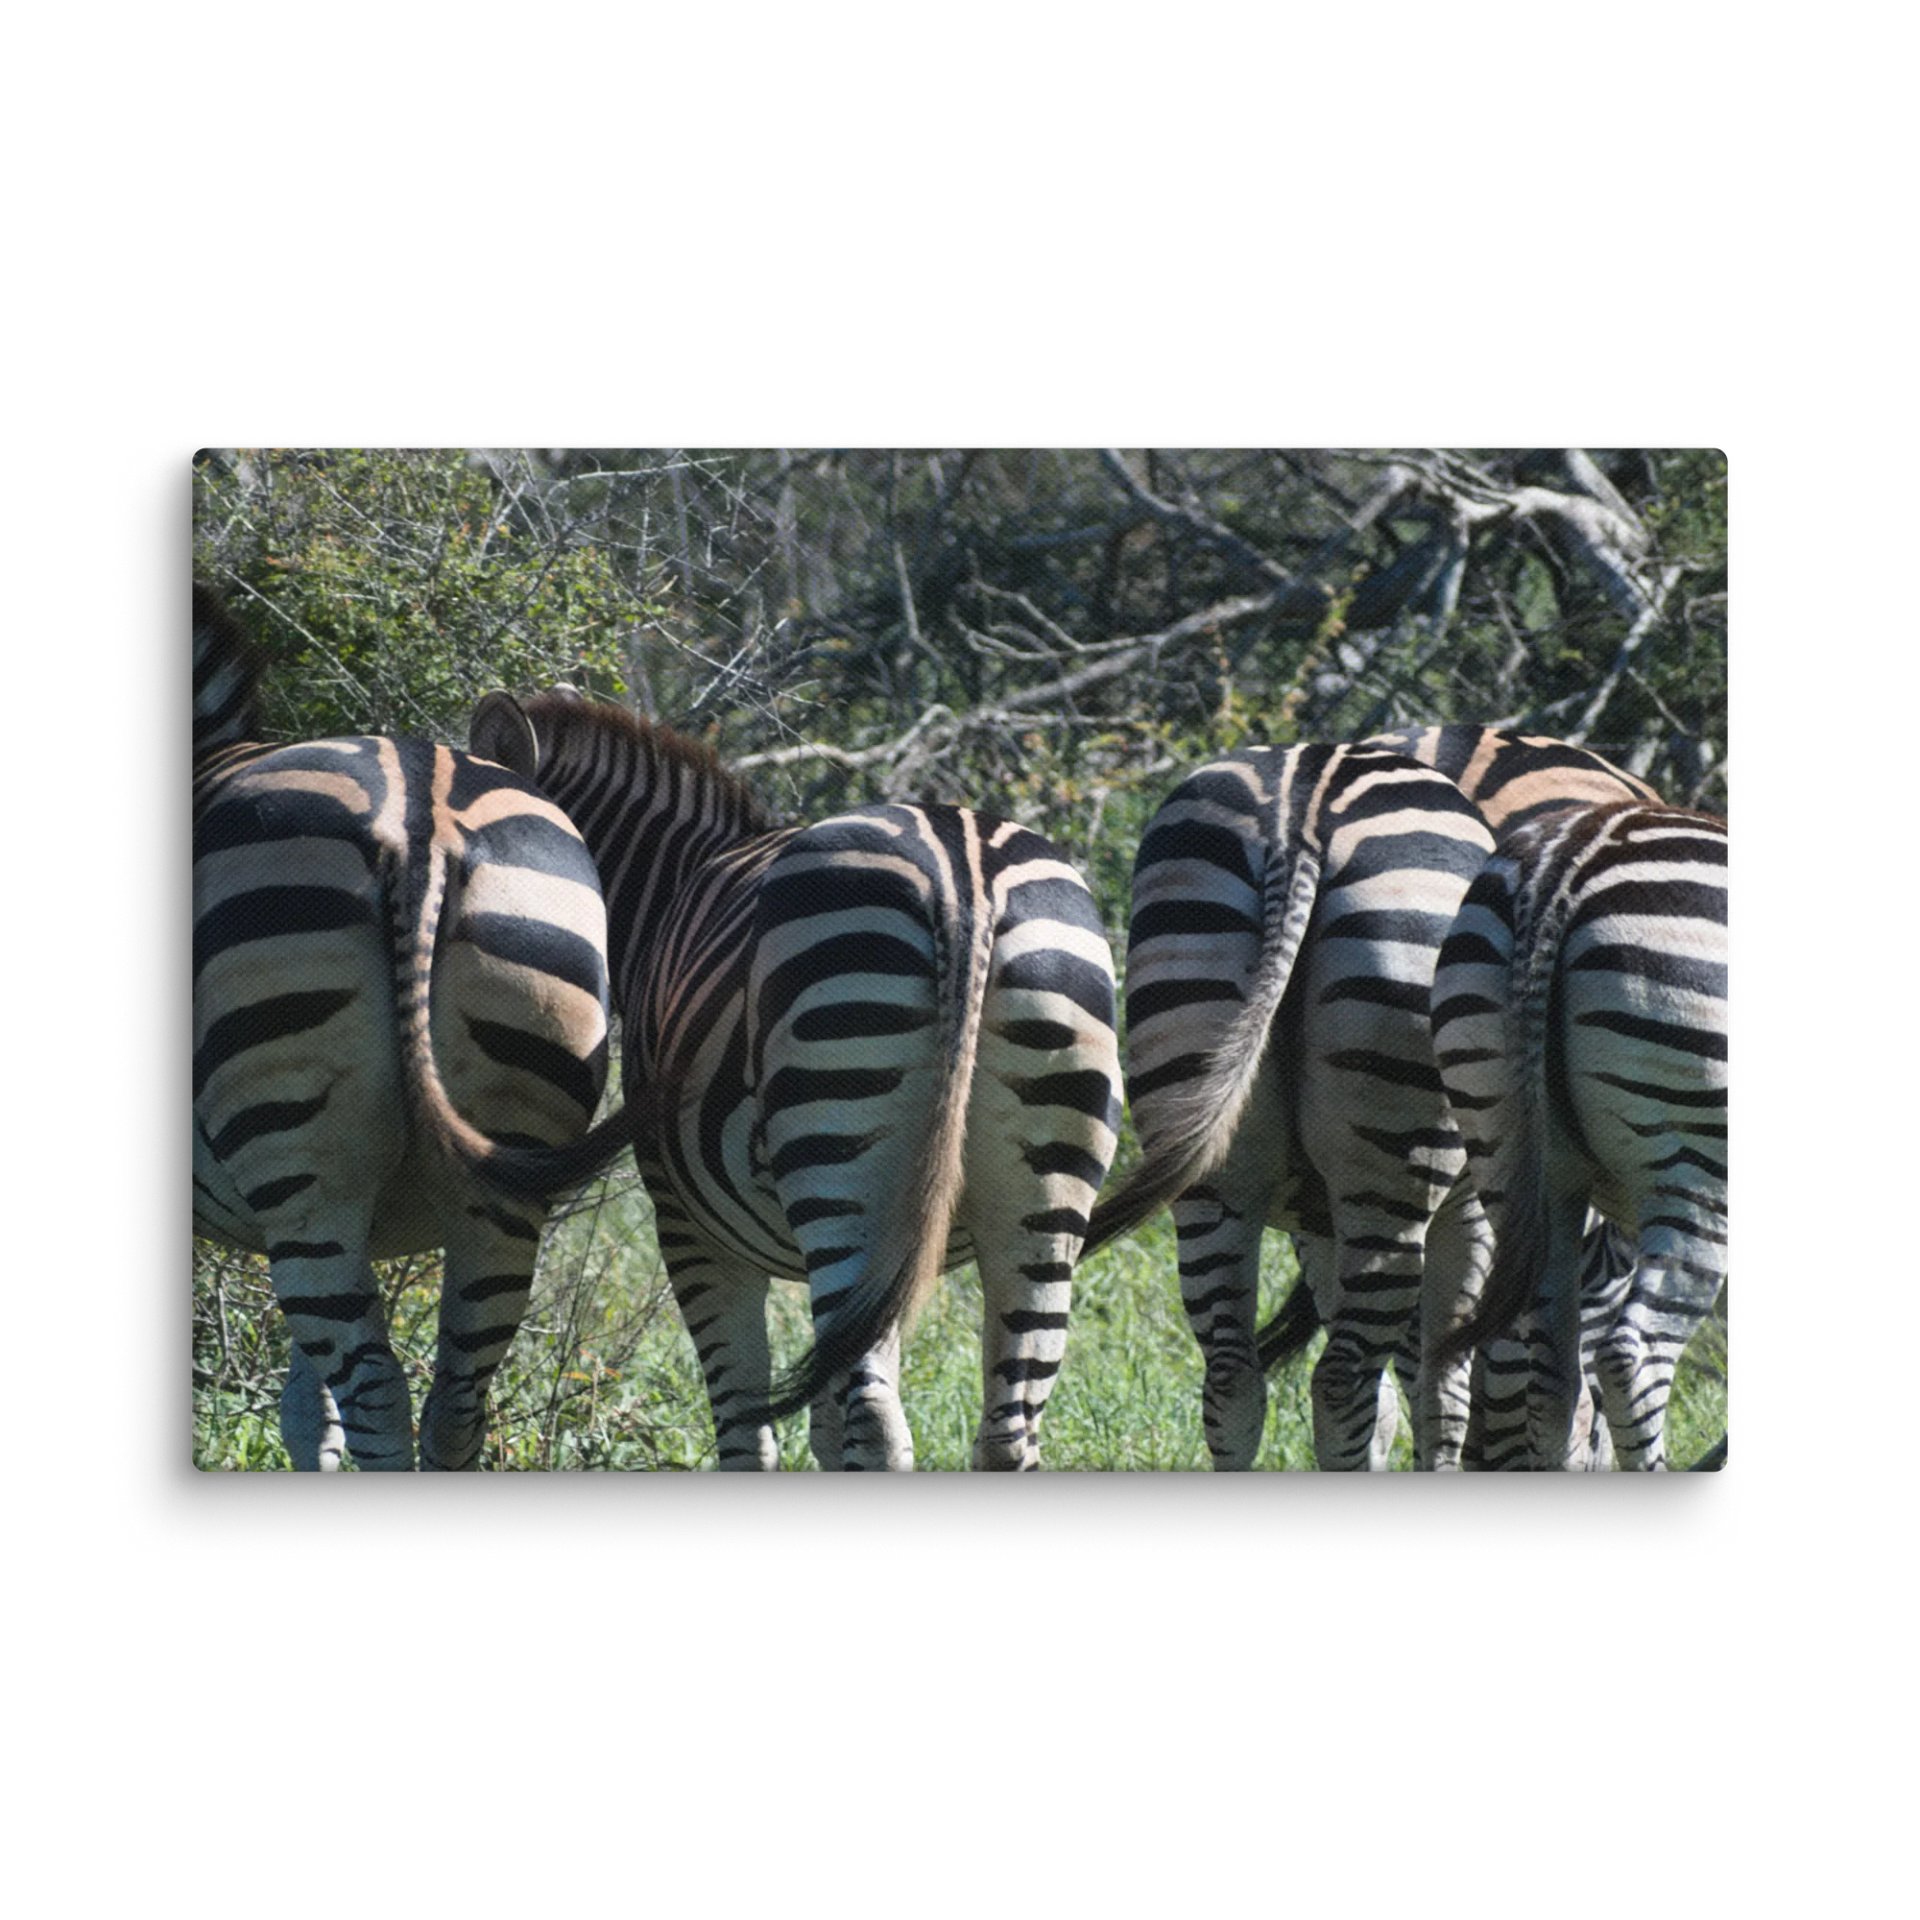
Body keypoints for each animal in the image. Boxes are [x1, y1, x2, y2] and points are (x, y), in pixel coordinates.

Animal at [193, 585, 629, 1470]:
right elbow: (306, 1412)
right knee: (454, 1403)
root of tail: (421, 815)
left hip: (303, 1178)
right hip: (501, 1171)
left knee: (378, 1398)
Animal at [468, 689, 1124, 1471]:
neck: (670, 884)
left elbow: (749, 1437)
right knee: (1005, 1430)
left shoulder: (690, 1228)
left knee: (879, 1426)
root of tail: (964, 872)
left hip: (841, 1160)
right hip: (1044, 1184)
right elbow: (826, 1428)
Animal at [1081, 741, 1500, 1471]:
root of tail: (1300, 812)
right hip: (1390, 1175)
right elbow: (1445, 1388)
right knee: (1341, 1381)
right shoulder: (1466, 1211)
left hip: (1211, 1157)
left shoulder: (1318, 1225)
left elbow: (1399, 1400)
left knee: (1231, 1377)